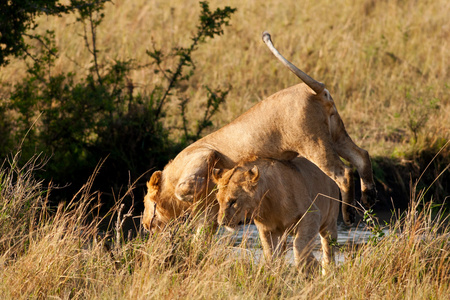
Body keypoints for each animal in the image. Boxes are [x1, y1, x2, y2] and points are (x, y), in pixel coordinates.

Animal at [144, 31, 376, 231]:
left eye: (146, 202)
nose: (145, 225)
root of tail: (315, 90)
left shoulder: (204, 153)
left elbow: (184, 188)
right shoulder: (209, 211)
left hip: (313, 142)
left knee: (344, 173)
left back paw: (349, 215)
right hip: (336, 134)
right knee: (362, 156)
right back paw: (369, 197)